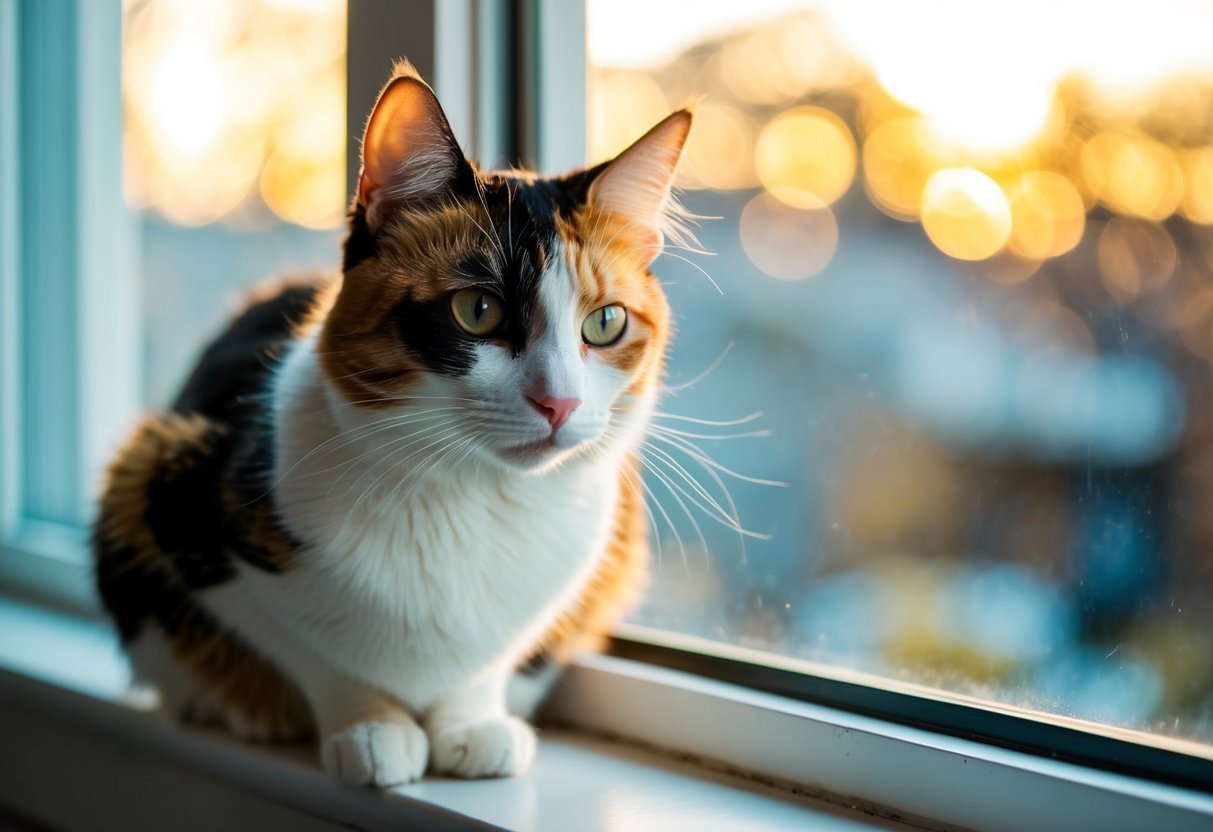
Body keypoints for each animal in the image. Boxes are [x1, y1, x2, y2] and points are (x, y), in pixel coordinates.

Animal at [92, 61, 693, 785]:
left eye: (605, 322)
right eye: (477, 310)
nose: (560, 405)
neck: (473, 498)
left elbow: (486, 663)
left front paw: (470, 726)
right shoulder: (186, 507)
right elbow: (314, 652)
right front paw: (371, 726)